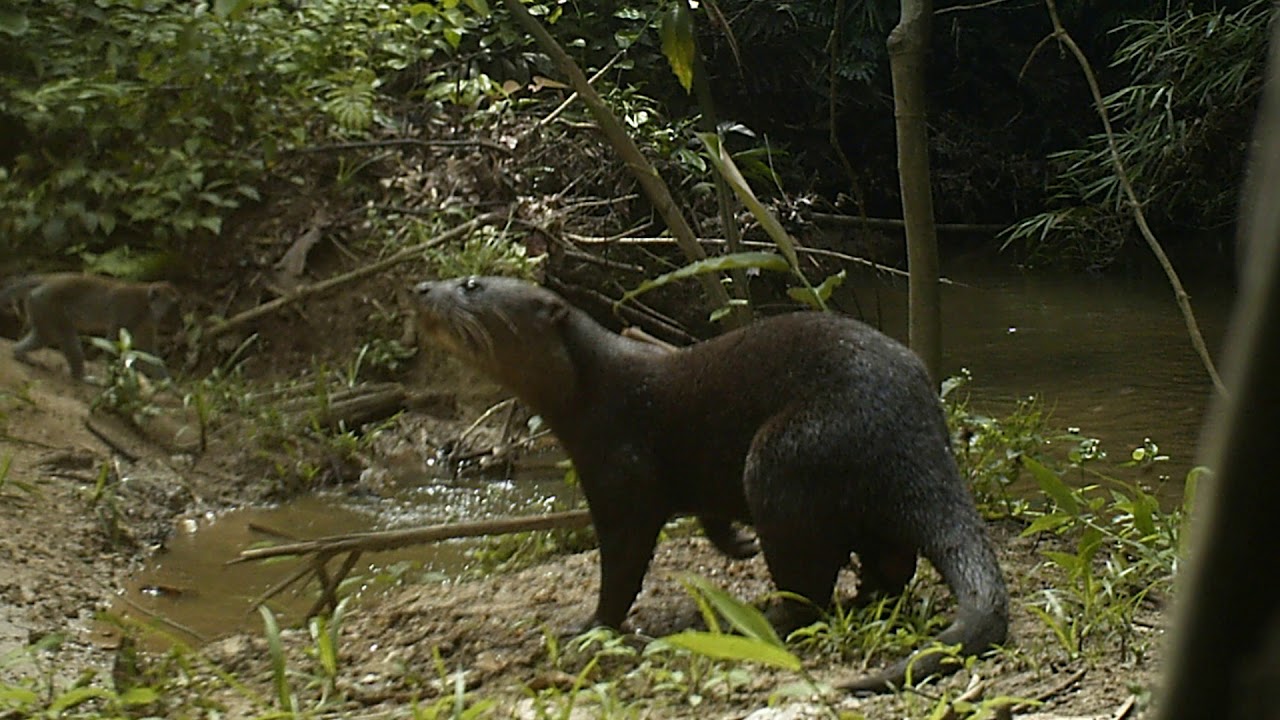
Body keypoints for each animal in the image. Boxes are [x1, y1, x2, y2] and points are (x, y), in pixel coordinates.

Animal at [412, 275, 1008, 692]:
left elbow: (623, 565)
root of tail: (918, 428)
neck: (593, 396)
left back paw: (765, 614)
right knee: (891, 561)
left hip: (785, 454)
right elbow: (710, 518)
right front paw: (737, 544)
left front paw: (591, 625)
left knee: (811, 585)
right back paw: (861, 595)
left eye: (471, 284)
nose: (420, 288)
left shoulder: (619, 473)